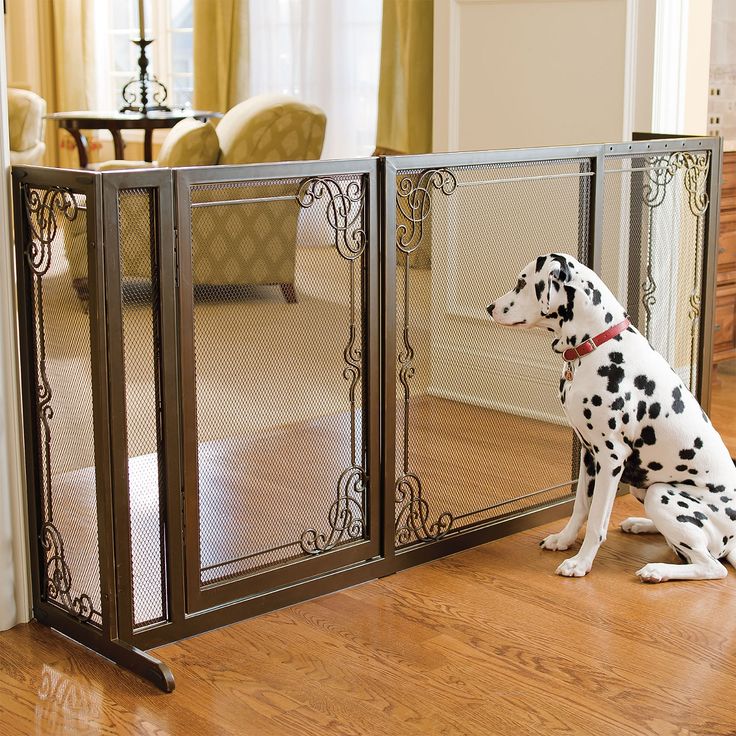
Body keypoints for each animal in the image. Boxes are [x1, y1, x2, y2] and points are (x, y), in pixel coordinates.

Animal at [488, 253, 736, 580]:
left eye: (521, 282)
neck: (594, 345)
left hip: (660, 494)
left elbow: (596, 520)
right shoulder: (588, 454)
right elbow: (580, 506)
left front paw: (580, 563)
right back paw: (641, 524)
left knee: (710, 566)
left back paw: (657, 570)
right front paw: (564, 540)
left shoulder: (610, 457)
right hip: (644, 488)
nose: (489, 307)